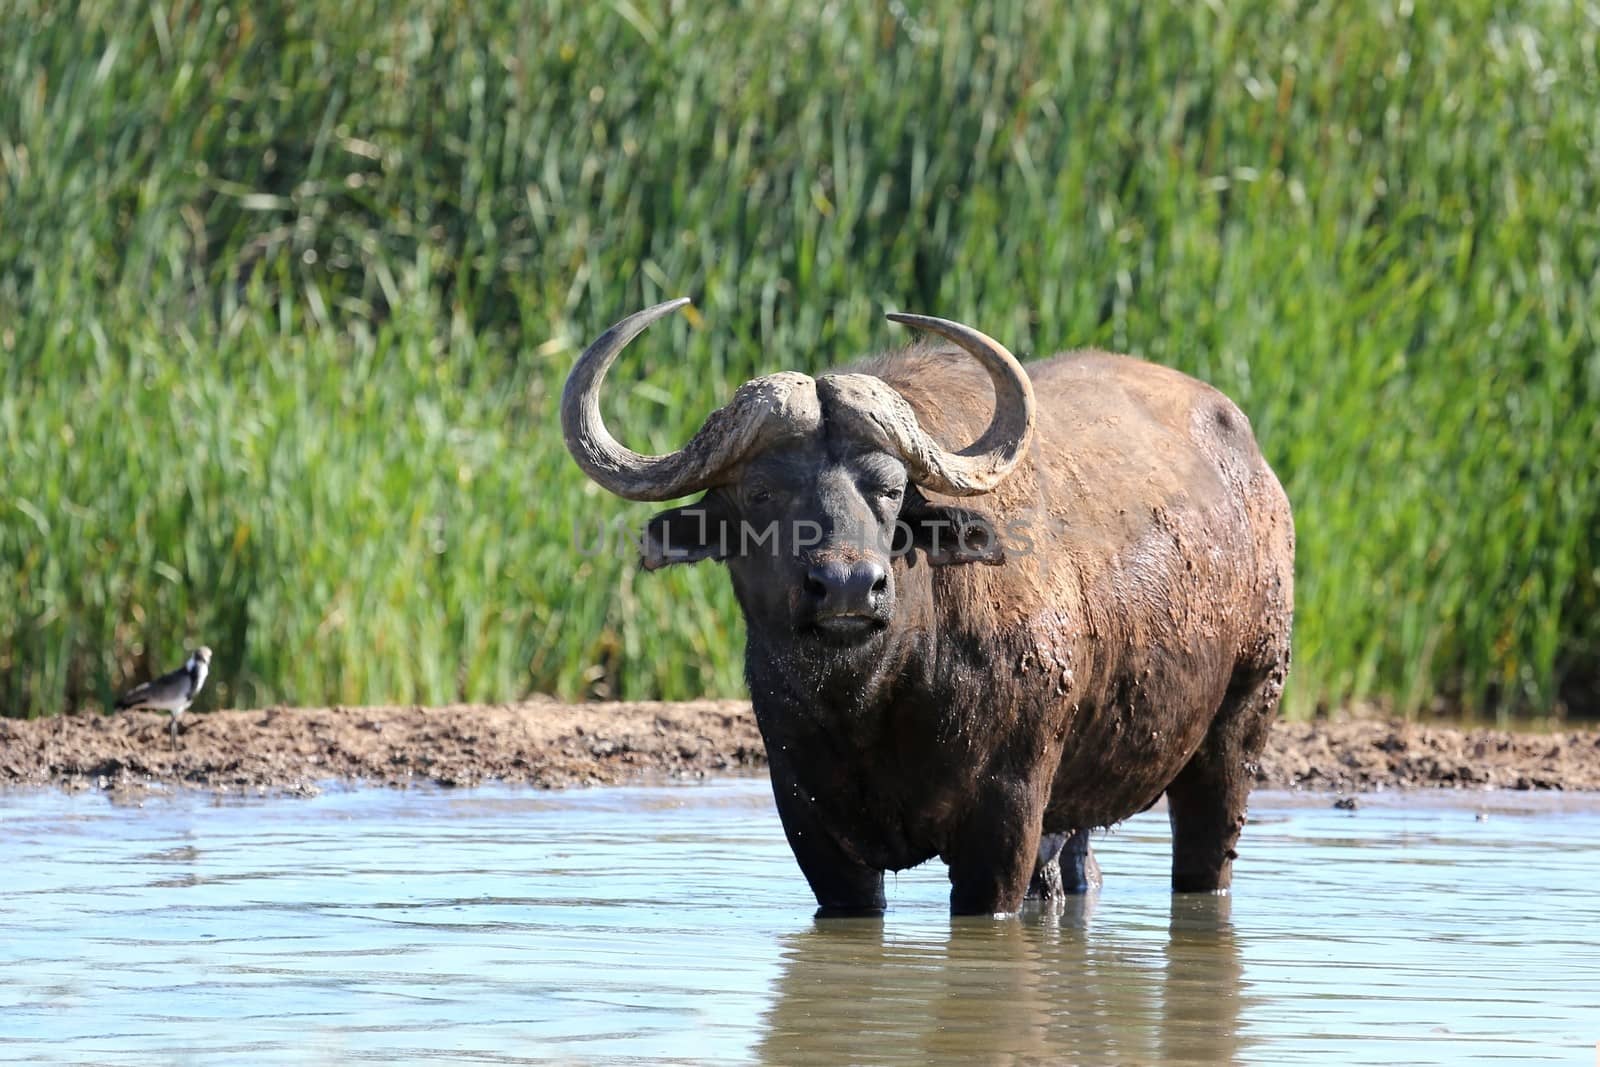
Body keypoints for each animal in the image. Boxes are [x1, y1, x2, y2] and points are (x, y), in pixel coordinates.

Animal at [556, 300, 1292, 921]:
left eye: (888, 488)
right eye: (761, 492)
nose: (848, 587)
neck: (878, 697)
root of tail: (1256, 470)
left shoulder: (1005, 819)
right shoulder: (813, 828)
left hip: (1244, 717)